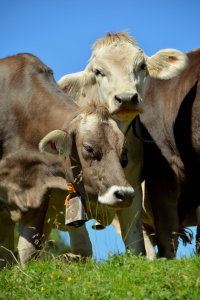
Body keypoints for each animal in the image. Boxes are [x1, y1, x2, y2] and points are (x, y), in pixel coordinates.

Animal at [57, 30, 189, 255]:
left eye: (142, 66)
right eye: (98, 71)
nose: (126, 97)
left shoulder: (132, 189)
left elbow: (136, 244)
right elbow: (81, 245)